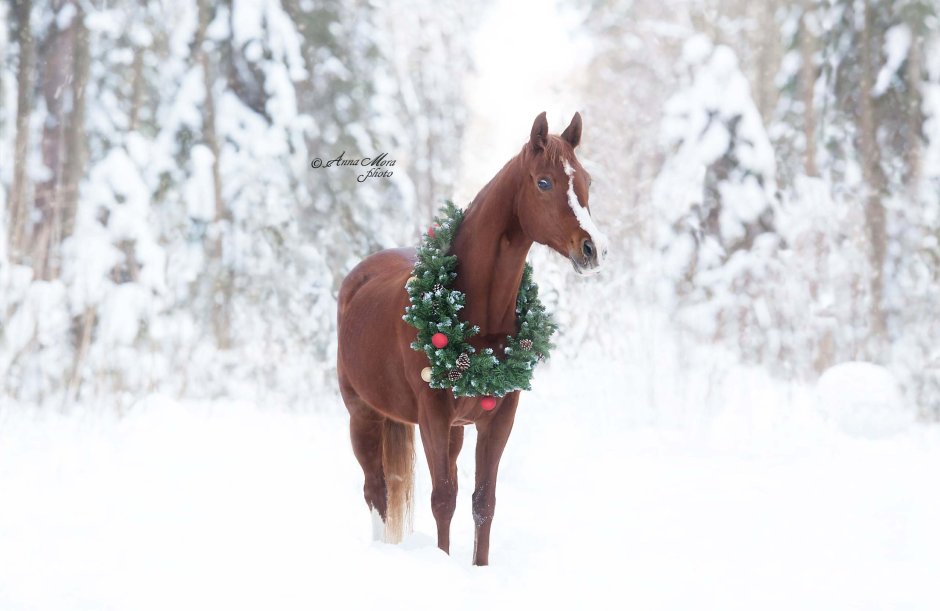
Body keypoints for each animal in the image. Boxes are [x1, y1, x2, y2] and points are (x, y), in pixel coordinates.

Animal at [338, 112, 608, 568]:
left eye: (586, 179)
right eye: (544, 182)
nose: (593, 250)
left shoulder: (498, 419)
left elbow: (484, 501)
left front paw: (478, 569)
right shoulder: (432, 417)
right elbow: (442, 499)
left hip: (454, 431)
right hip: (363, 415)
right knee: (376, 490)